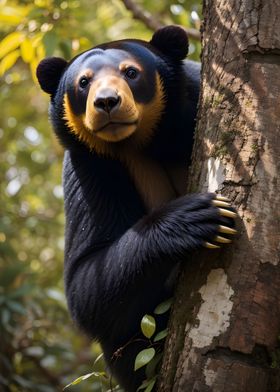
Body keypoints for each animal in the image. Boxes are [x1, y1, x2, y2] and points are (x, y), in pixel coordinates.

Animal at [36, 26, 235, 390]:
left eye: (131, 72)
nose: (106, 102)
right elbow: (86, 284)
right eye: (83, 82)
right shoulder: (88, 167)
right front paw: (196, 217)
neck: (149, 142)